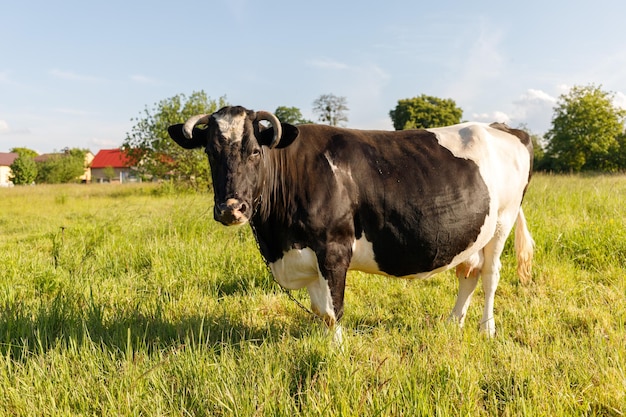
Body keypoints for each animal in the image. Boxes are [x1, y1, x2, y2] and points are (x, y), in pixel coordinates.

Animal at [167, 105, 532, 342]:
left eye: (255, 151)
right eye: (210, 152)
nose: (231, 208)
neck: (278, 241)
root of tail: (501, 127)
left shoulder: (334, 248)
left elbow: (334, 309)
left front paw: (336, 351)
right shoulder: (307, 256)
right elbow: (320, 310)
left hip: (503, 221)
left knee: (490, 275)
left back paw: (487, 330)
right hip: (474, 232)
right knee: (469, 272)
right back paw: (453, 324)